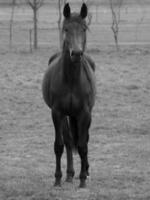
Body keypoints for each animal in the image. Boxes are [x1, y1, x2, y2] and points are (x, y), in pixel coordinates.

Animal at [42, 2, 96, 188]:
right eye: (66, 29)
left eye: (84, 28)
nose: (77, 53)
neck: (72, 79)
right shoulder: (57, 112)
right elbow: (59, 145)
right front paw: (58, 179)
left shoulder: (85, 113)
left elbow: (83, 145)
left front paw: (83, 179)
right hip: (67, 115)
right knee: (68, 140)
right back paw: (69, 174)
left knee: (81, 140)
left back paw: (83, 172)